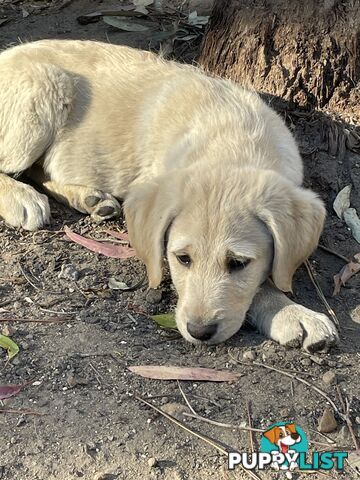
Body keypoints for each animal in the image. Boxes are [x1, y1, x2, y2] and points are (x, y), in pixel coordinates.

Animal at [0, 39, 338, 350]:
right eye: (182, 259)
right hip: (41, 92)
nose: (199, 331)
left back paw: (89, 199)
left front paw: (289, 309)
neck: (232, 139)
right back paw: (21, 198)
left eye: (238, 263)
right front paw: (290, 311)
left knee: (41, 170)